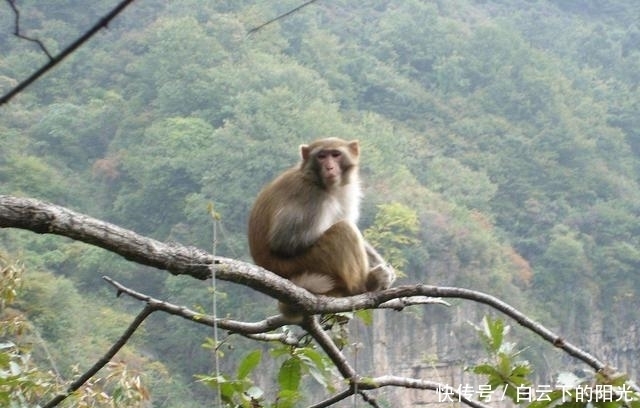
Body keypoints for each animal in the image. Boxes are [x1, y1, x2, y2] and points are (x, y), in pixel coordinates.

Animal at [246, 137, 392, 318]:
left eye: (335, 154)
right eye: (321, 156)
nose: (329, 167)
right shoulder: (310, 196)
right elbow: (284, 243)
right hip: (305, 263)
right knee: (344, 230)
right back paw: (363, 286)